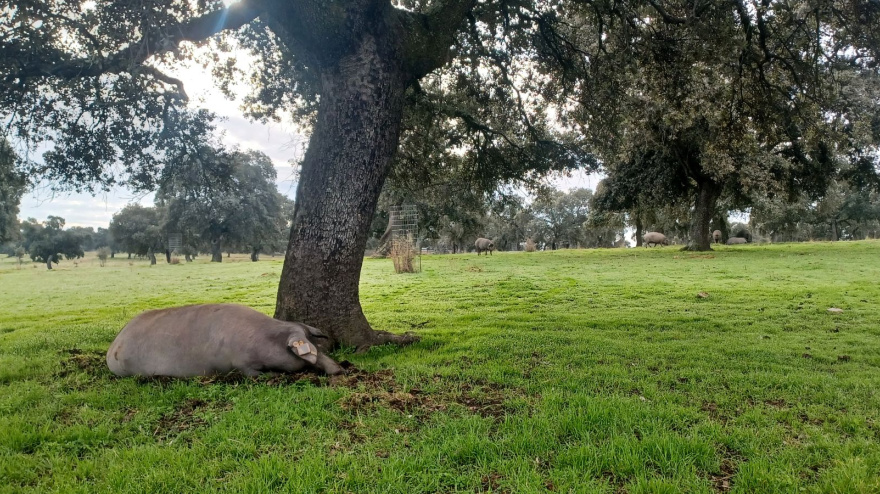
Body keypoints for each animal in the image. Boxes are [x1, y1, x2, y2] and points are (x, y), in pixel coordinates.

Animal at [106, 304, 344, 377]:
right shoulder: (241, 363)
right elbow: (253, 374)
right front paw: (274, 375)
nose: (340, 368)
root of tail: (114, 345)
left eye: (317, 343)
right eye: (310, 348)